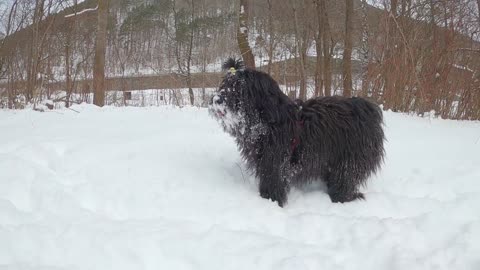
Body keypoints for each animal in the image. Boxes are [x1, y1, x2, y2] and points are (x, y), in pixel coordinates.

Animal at [210, 58, 386, 207]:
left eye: (240, 89)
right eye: (224, 85)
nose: (217, 99)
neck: (269, 120)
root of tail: (367, 108)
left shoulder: (275, 164)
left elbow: (273, 182)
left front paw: (271, 201)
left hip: (350, 158)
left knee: (345, 178)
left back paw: (343, 198)